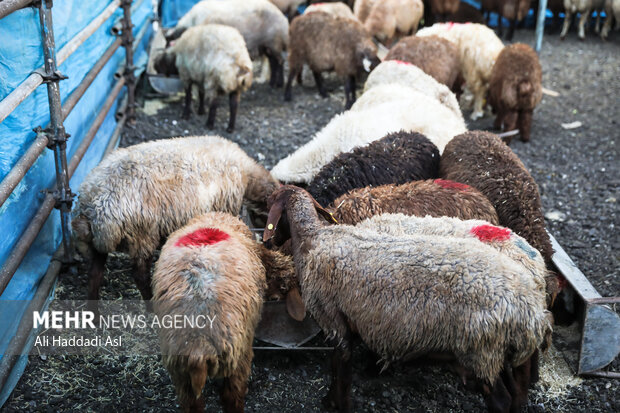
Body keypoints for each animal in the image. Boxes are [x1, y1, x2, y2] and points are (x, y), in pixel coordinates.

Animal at [71, 135, 280, 308]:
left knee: (94, 274)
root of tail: (92, 204)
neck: (246, 175)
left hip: (100, 242)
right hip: (141, 234)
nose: (268, 240)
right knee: (139, 274)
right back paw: (150, 305)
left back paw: (94, 315)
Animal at [262, 186, 552, 412]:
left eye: (269, 206)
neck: (313, 240)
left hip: (483, 350)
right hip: (502, 353)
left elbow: (340, 370)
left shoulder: (334, 321)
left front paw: (336, 403)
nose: (270, 242)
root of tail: (529, 309)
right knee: (517, 389)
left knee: (501, 400)